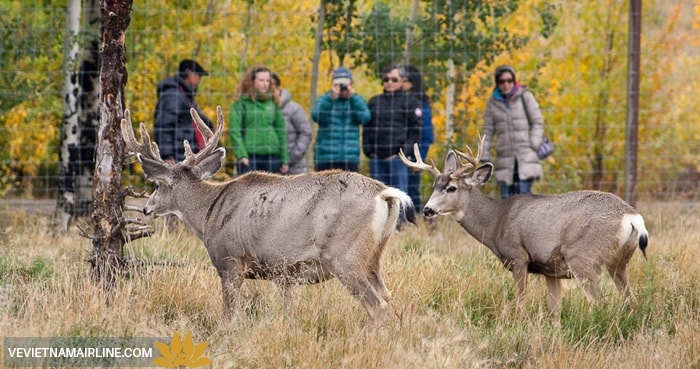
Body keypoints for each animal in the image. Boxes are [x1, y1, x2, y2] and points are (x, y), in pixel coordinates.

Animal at [400, 137, 652, 320]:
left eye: (451, 188)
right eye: (435, 186)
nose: (428, 210)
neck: (496, 222)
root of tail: (632, 218)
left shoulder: (518, 257)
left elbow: (521, 303)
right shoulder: (551, 270)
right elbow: (554, 309)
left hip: (584, 258)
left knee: (598, 302)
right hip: (618, 262)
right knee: (632, 301)